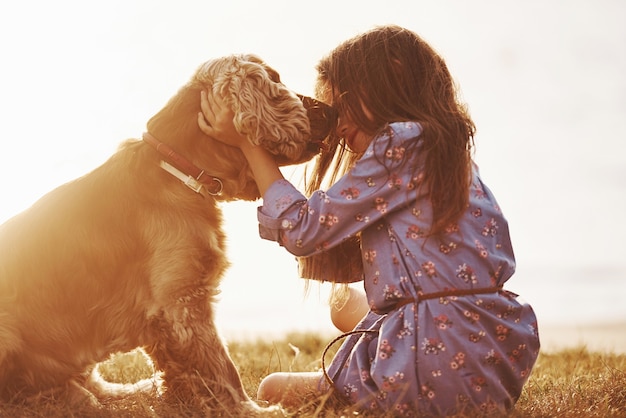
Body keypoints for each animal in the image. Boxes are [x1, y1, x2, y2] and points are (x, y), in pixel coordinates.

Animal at [0, 54, 336, 414]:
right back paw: (74, 399)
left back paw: (128, 392)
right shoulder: (183, 301)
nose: (332, 111)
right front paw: (248, 411)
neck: (179, 172)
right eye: (275, 80)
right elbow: (221, 367)